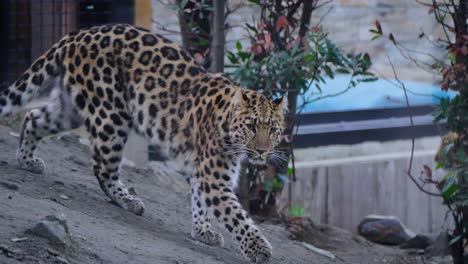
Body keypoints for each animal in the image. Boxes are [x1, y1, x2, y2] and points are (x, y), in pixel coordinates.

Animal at [0, 23, 288, 262]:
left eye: (273, 129)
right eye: (251, 126)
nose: (261, 152)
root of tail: (80, 33)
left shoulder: (203, 173)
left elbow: (200, 201)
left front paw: (203, 232)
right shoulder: (214, 178)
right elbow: (235, 214)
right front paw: (258, 247)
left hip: (71, 108)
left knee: (33, 117)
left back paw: (27, 161)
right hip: (111, 114)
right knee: (102, 167)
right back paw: (128, 200)